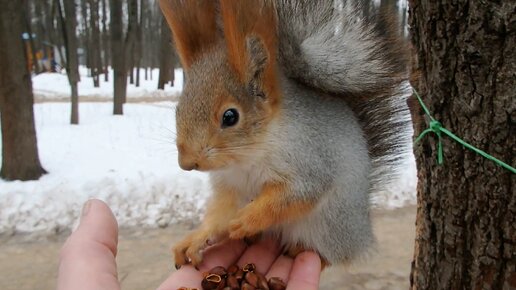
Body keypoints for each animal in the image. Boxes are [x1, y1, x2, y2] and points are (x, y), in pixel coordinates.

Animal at [160, 0, 412, 268]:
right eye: (178, 108)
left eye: (230, 117)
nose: (186, 163)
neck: (247, 157)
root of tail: (363, 230)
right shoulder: (231, 186)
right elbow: (221, 215)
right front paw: (197, 238)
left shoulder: (310, 160)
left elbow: (297, 194)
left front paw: (247, 220)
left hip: (332, 223)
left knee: (333, 256)